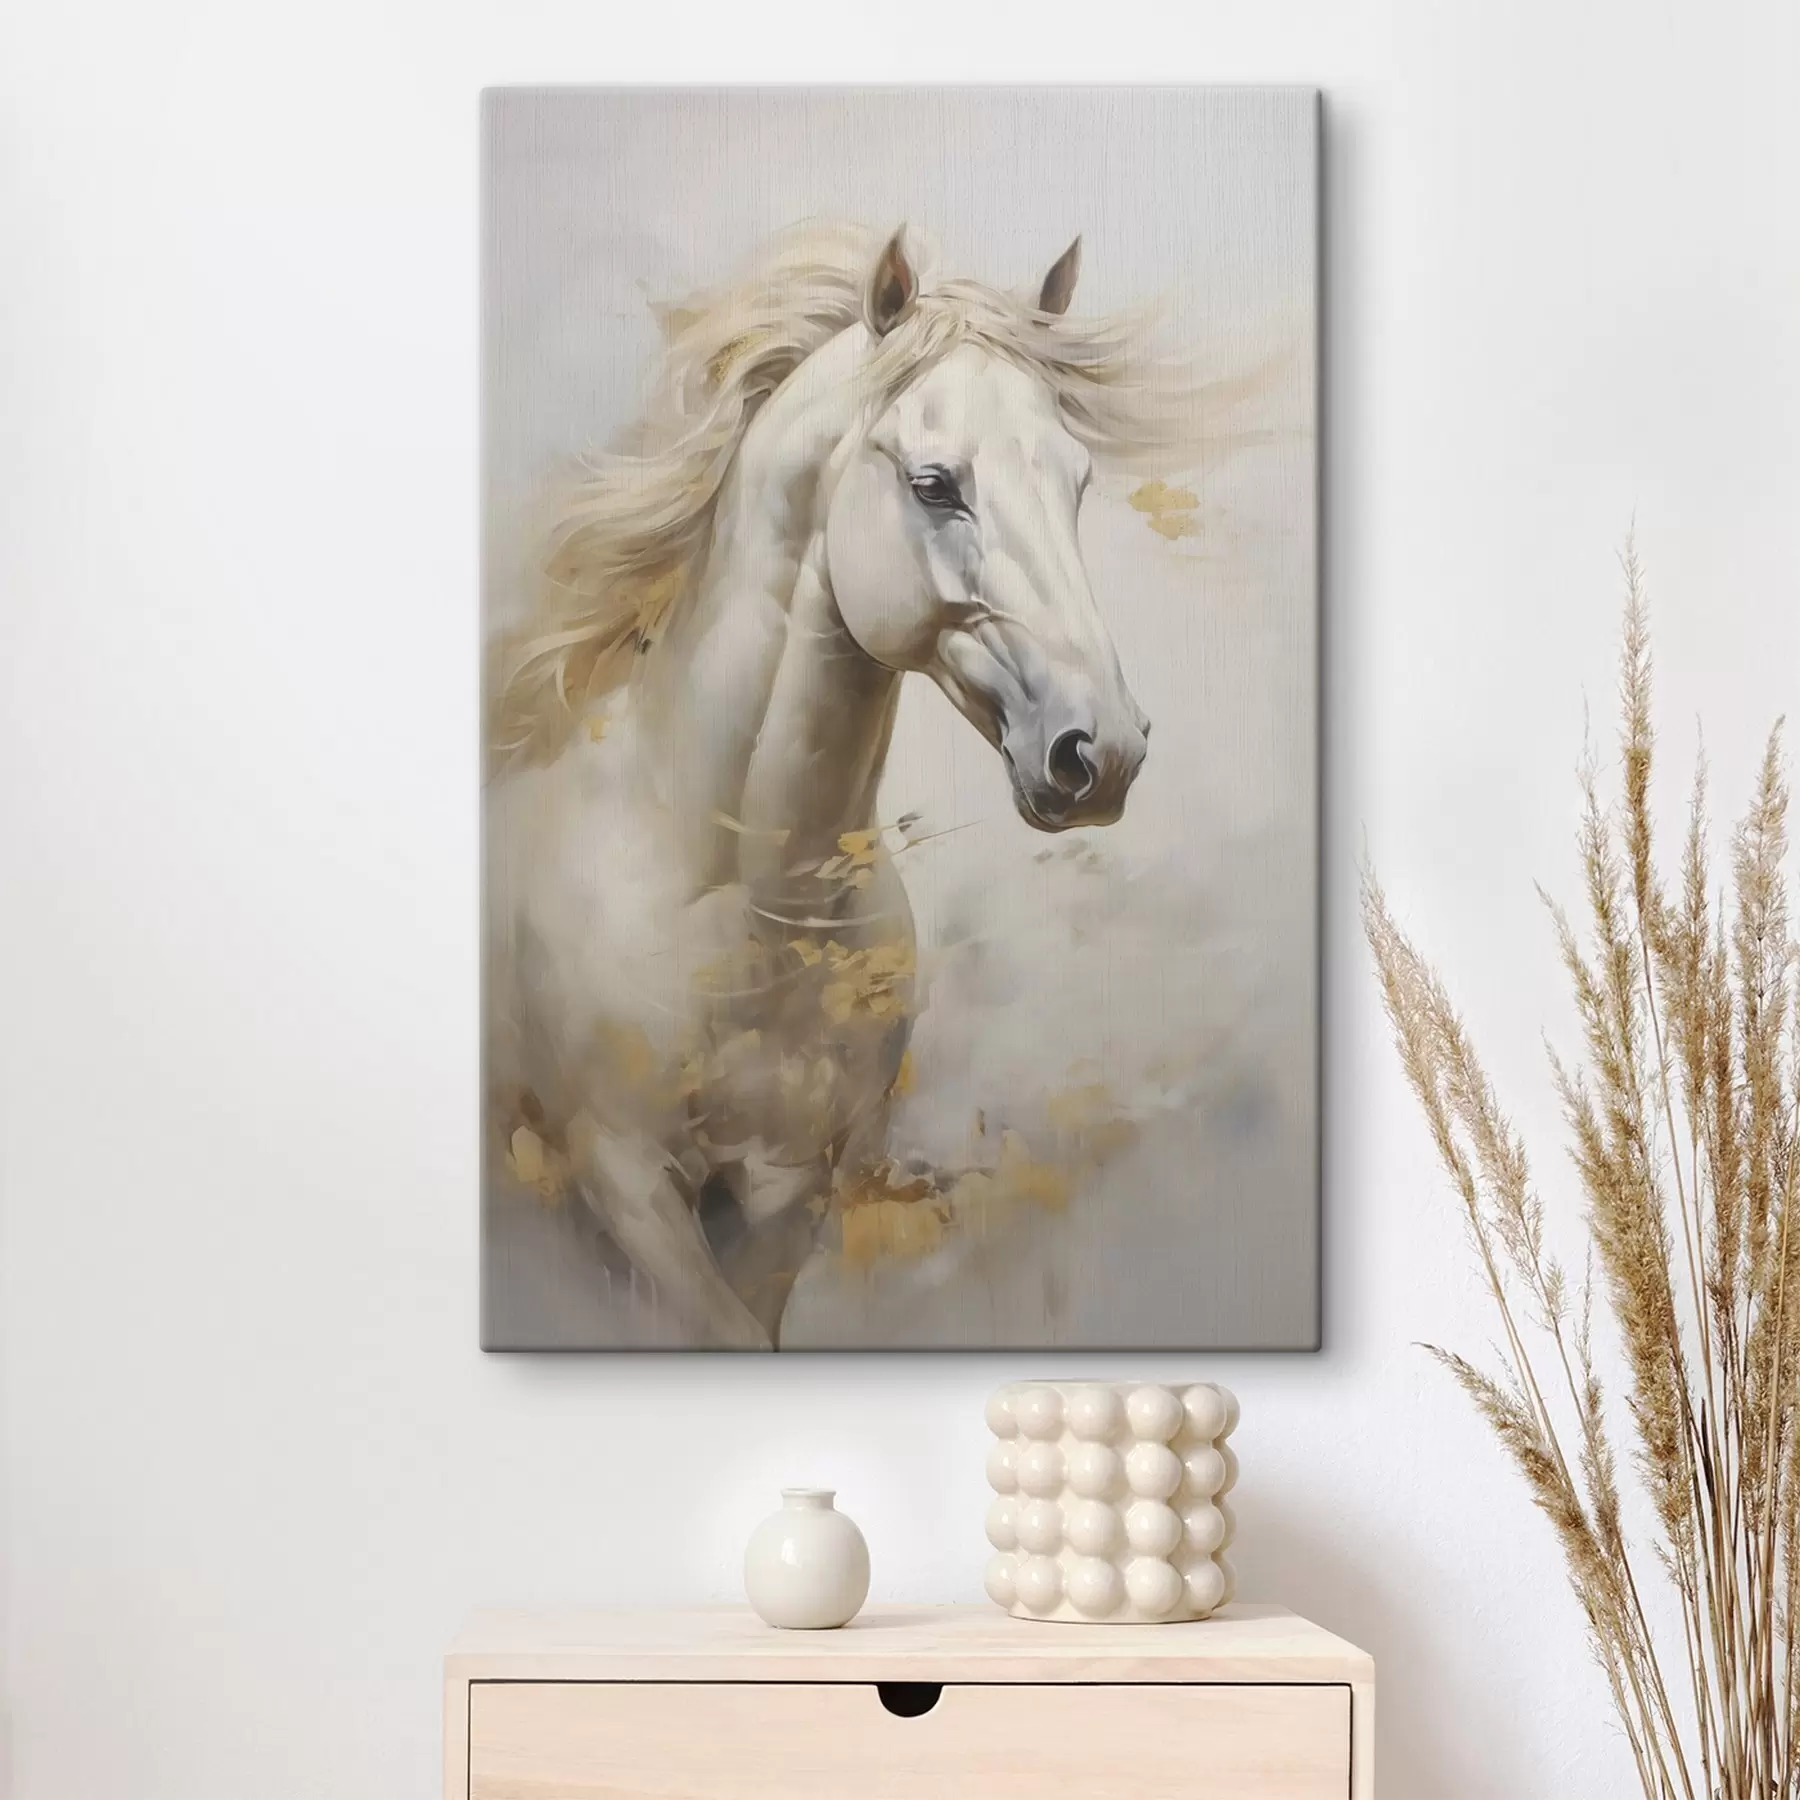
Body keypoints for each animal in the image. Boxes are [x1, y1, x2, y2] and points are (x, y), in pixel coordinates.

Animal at [487, 222, 1191, 1348]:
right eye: (936, 484)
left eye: (1076, 482)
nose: (1102, 751)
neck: (746, 915)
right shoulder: (625, 1184)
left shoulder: (789, 1189)